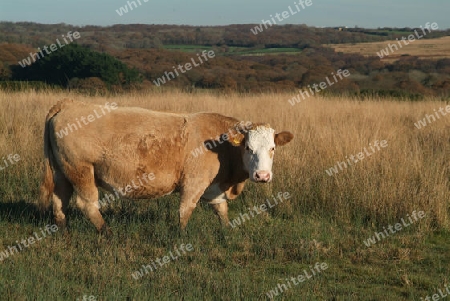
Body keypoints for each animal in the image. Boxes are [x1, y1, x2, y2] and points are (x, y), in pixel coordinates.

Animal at [37, 99, 294, 233]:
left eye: (272, 148)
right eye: (248, 148)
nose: (262, 175)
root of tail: (70, 104)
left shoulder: (214, 187)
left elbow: (221, 209)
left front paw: (227, 231)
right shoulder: (194, 182)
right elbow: (186, 210)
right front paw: (181, 236)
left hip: (62, 172)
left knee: (59, 201)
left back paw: (63, 230)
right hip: (81, 171)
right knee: (87, 203)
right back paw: (106, 231)